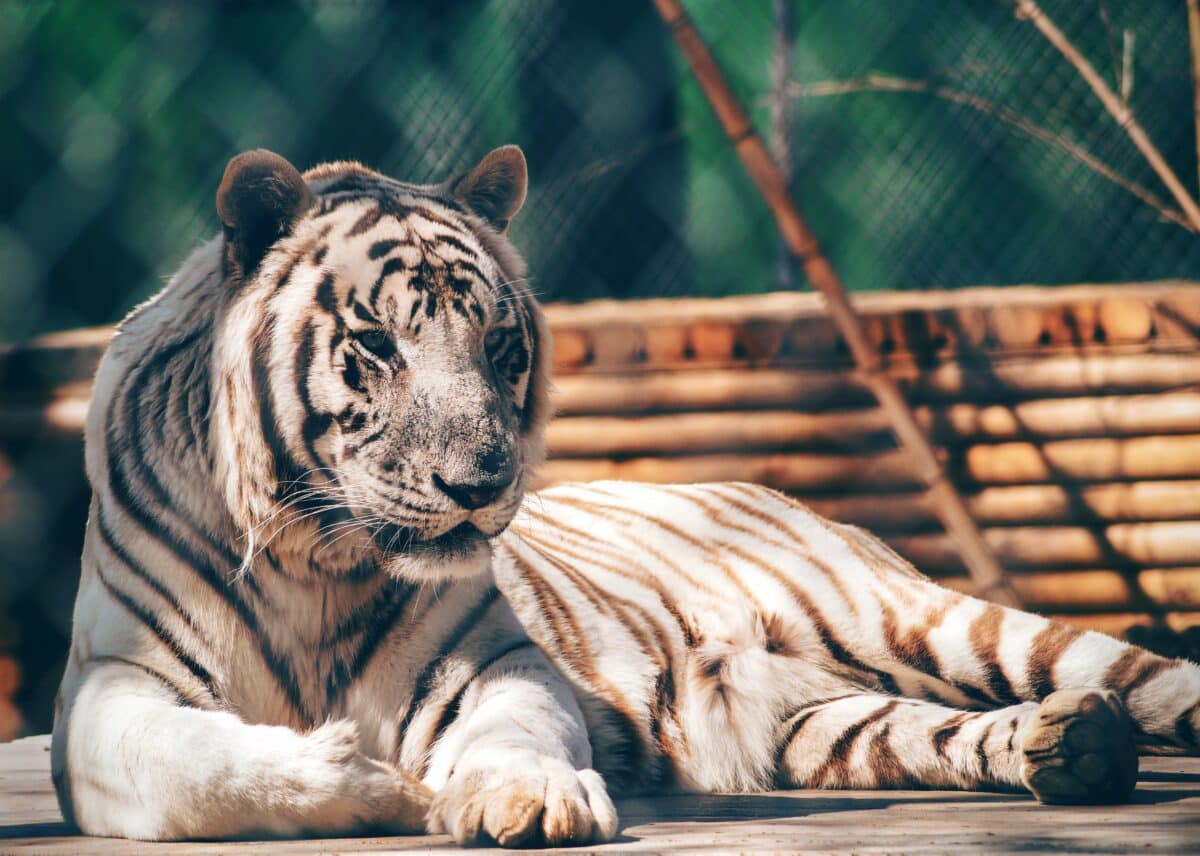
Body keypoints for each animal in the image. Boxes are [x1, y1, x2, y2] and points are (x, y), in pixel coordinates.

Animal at [51, 145, 1200, 847]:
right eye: (377, 344)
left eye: (499, 344)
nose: (481, 484)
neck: (315, 561)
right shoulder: (110, 688)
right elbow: (193, 767)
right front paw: (371, 784)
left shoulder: (492, 663)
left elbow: (516, 732)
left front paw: (529, 798)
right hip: (827, 722)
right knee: (941, 730)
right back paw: (1069, 748)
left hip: (926, 617)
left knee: (1141, 678)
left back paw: (1090, 732)